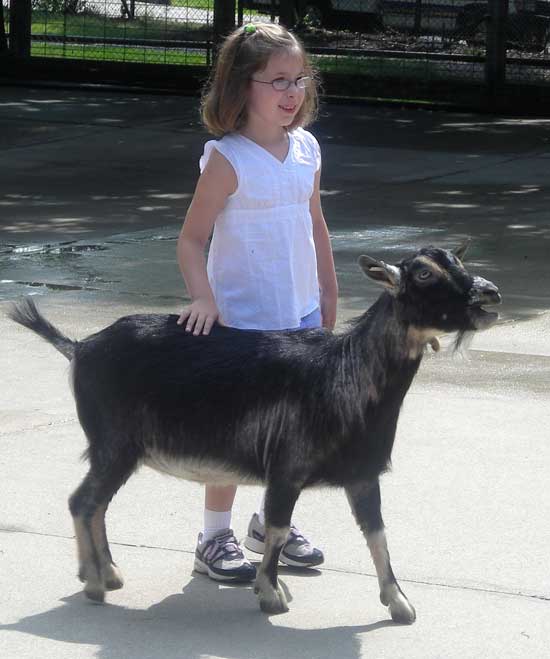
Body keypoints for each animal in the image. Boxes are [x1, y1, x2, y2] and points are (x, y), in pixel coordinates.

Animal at [8, 245, 502, 620]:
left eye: (456, 260)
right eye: (424, 272)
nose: (490, 294)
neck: (344, 372)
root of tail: (79, 346)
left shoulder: (363, 472)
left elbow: (377, 533)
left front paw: (399, 603)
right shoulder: (286, 469)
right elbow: (279, 530)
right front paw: (270, 595)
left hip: (116, 450)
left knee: (97, 504)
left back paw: (108, 574)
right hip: (113, 444)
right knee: (82, 501)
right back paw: (95, 582)